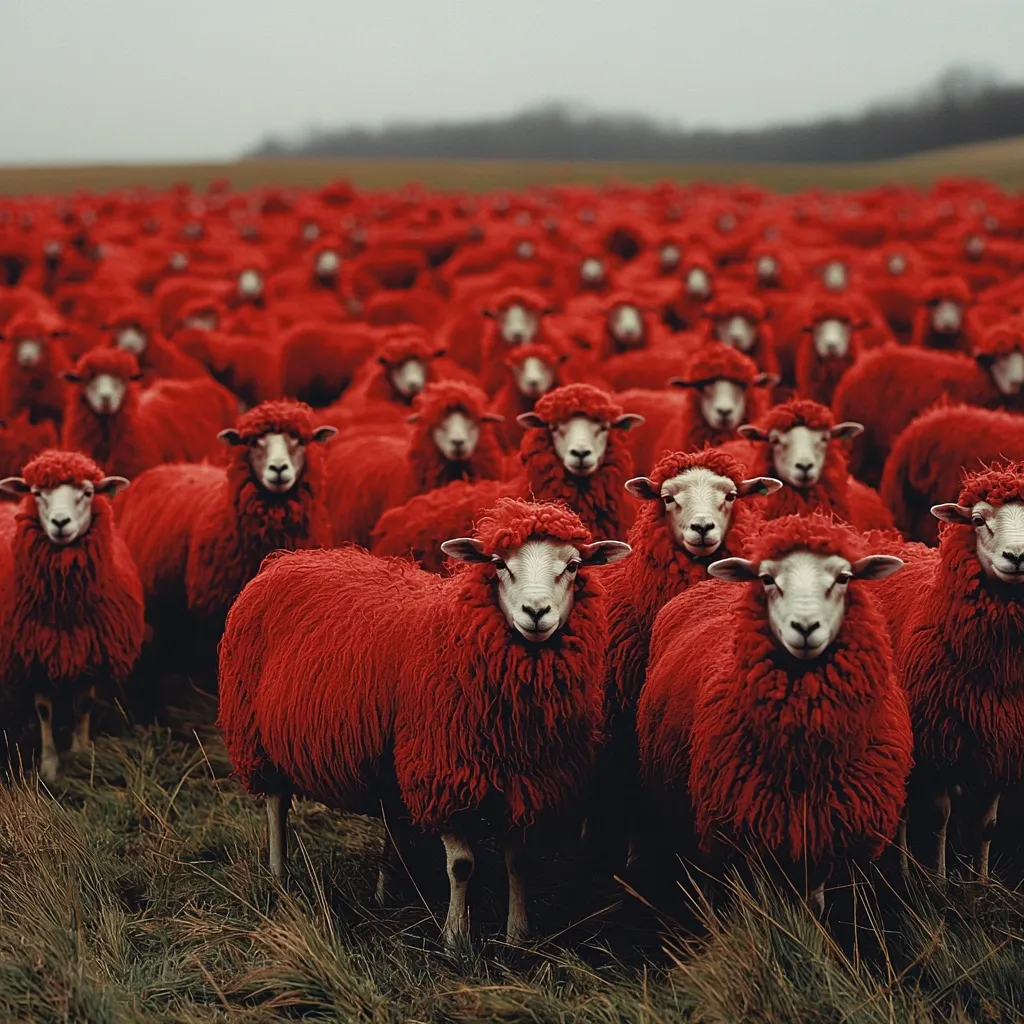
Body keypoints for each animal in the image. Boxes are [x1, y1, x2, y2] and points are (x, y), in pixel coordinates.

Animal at [0, 450, 144, 780]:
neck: (65, 611)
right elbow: (44, 710)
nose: (60, 522)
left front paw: (80, 753)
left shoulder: (92, 652)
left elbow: (84, 704)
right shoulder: (34, 656)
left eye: (88, 492)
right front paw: (50, 766)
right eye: (36, 493)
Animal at [217, 497, 630, 945]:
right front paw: (455, 938)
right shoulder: (442, 774)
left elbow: (519, 862)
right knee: (276, 803)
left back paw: (386, 892)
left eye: (573, 565)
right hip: (256, 734)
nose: (535, 613)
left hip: (388, 757)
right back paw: (278, 875)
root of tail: (287, 558)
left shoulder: (526, 784)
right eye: (498, 563)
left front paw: (518, 935)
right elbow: (462, 864)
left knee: (390, 815)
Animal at [638, 513, 911, 908]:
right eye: (767, 579)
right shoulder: (745, 835)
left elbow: (816, 905)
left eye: (844, 577)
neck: (805, 759)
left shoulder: (827, 835)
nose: (805, 628)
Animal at [874, 463, 1024, 881]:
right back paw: (905, 870)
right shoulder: (936, 741)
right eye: (977, 520)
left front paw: (981, 884)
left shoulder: (1002, 744)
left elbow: (987, 826)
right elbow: (940, 818)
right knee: (905, 808)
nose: (1017, 556)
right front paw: (939, 881)